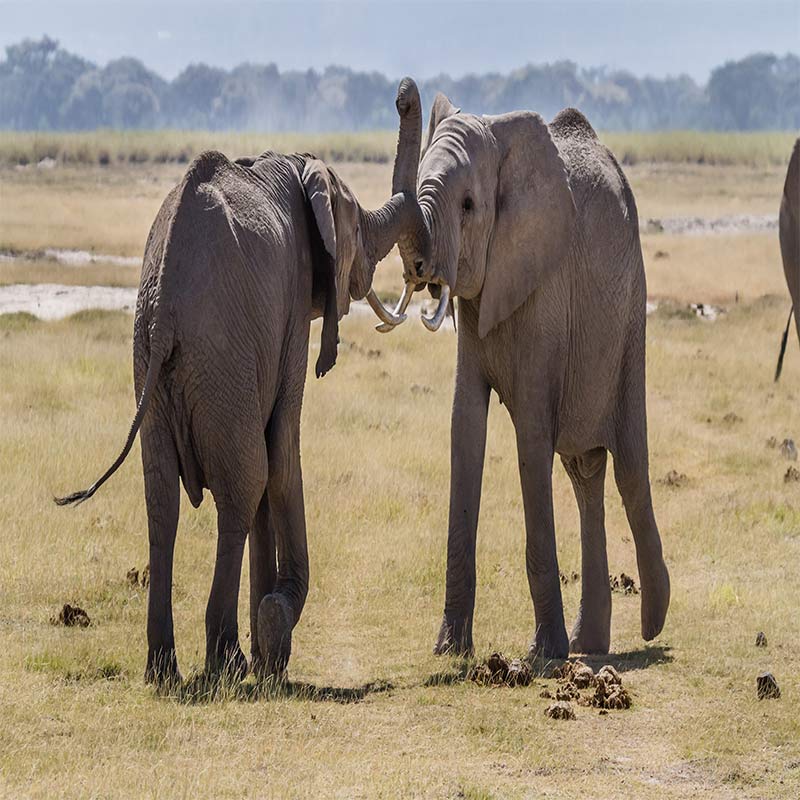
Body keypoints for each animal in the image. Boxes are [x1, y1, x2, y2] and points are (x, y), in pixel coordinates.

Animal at [55, 136, 418, 680]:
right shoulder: (292, 307)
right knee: (243, 483)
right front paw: (274, 641)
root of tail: (166, 307)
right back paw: (228, 660)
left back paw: (163, 669)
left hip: (150, 360)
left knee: (162, 498)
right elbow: (280, 454)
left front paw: (269, 645)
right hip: (221, 356)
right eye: (356, 227)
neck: (294, 164)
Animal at [380, 78, 668, 660]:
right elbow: (464, 426)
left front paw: (543, 657)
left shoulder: (544, 285)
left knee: (628, 467)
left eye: (469, 205)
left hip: (630, 317)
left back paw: (651, 626)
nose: (402, 93)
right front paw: (450, 651)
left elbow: (533, 433)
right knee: (584, 471)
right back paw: (589, 645)